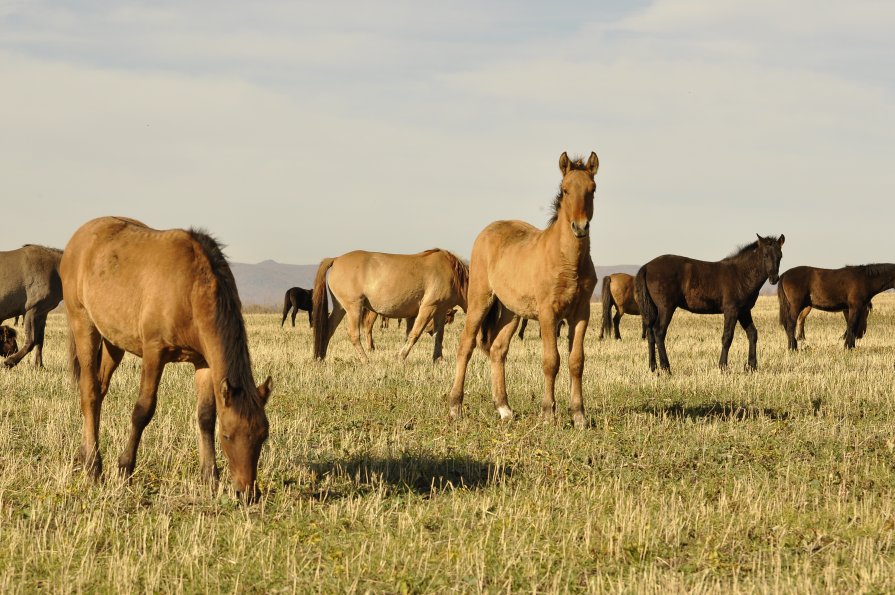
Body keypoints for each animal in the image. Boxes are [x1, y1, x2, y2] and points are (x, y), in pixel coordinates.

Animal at [60, 217, 272, 500]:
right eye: (228, 436)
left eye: (262, 435)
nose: (248, 493)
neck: (191, 288)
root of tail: (79, 237)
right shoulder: (154, 352)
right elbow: (143, 410)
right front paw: (124, 468)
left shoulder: (204, 362)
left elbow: (205, 416)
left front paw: (210, 477)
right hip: (83, 324)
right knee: (90, 391)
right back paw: (94, 466)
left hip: (113, 342)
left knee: (99, 390)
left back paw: (85, 455)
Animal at [314, 248, 468, 364]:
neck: (453, 274)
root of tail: (336, 259)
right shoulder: (428, 307)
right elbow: (414, 333)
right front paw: (401, 356)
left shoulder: (440, 310)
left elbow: (439, 335)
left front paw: (438, 359)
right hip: (353, 308)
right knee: (353, 334)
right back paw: (365, 360)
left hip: (340, 308)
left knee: (328, 329)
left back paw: (321, 358)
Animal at [448, 150, 600, 428]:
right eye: (565, 190)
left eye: (592, 189)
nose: (580, 227)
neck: (568, 262)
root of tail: (487, 230)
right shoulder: (548, 313)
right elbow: (552, 361)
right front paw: (548, 413)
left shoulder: (581, 313)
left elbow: (576, 361)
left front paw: (579, 415)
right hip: (480, 300)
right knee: (466, 345)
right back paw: (455, 407)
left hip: (512, 312)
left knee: (497, 349)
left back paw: (504, 409)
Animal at [636, 236, 784, 372]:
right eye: (765, 255)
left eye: (780, 256)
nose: (774, 278)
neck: (741, 274)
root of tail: (647, 266)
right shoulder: (732, 310)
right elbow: (727, 337)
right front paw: (723, 366)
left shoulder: (744, 311)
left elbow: (752, 333)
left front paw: (752, 366)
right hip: (666, 307)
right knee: (659, 332)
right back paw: (666, 368)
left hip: (654, 308)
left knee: (650, 333)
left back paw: (653, 367)